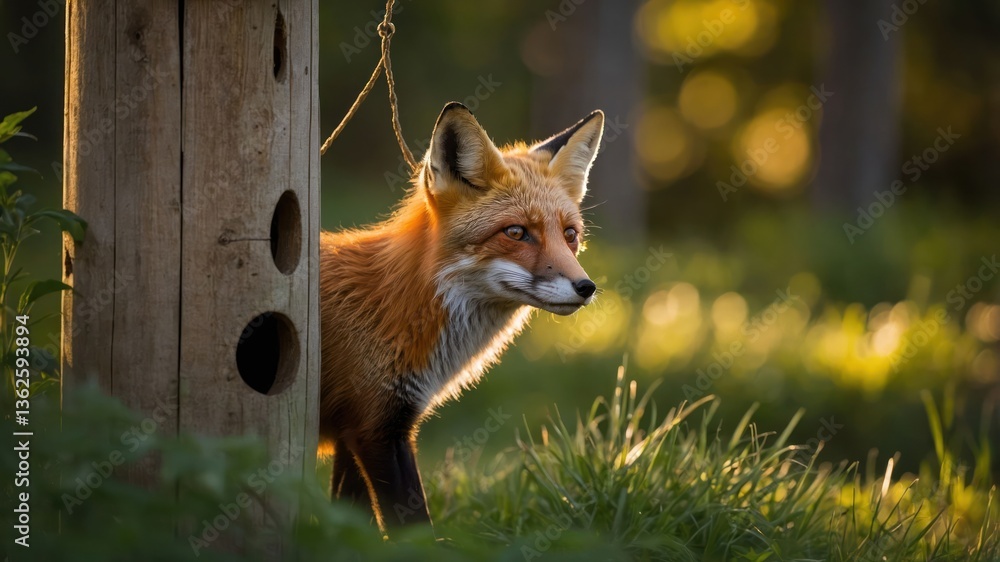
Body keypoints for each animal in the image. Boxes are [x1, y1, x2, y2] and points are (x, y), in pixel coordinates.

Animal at [318, 101, 605, 531]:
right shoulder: (378, 429)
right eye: (516, 232)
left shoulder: (356, 431)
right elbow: (414, 526)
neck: (395, 305)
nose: (585, 287)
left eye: (570, 234)